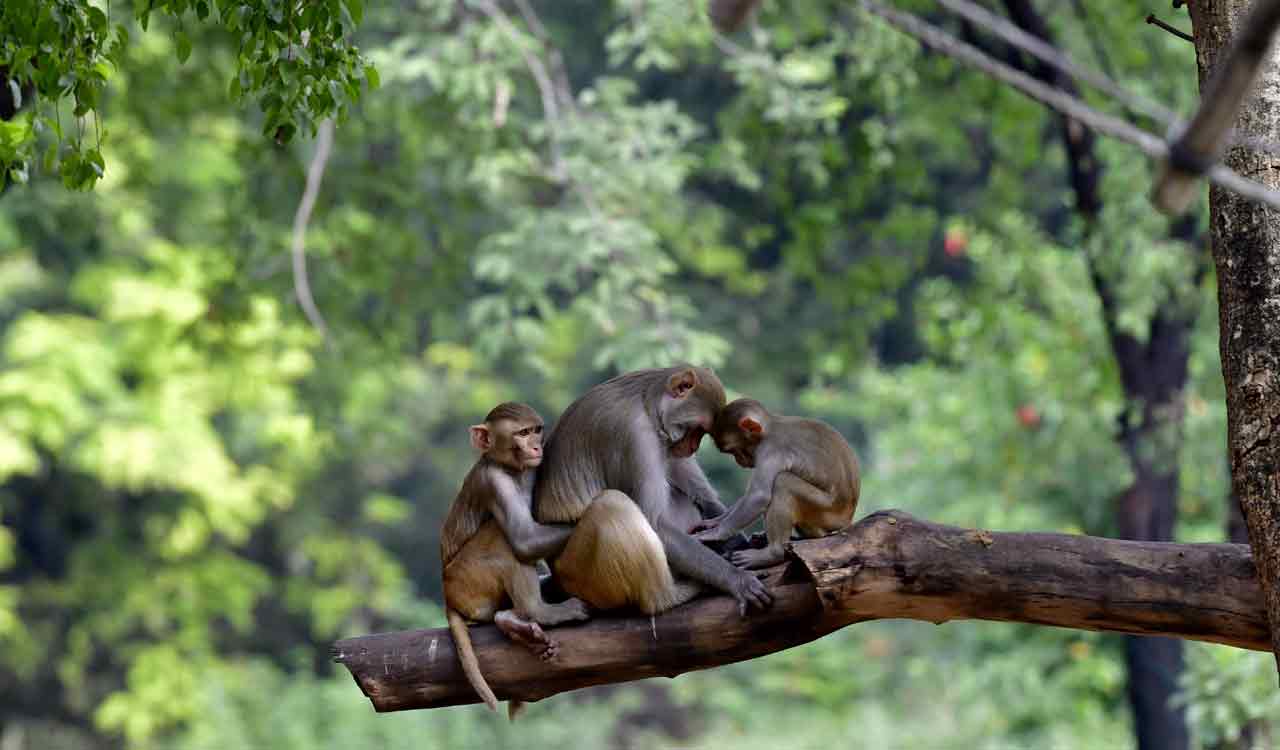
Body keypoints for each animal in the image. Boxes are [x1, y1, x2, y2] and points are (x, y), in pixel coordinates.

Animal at [440, 402, 590, 716]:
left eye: (536, 430)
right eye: (521, 433)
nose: (535, 446)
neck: (510, 469)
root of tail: (447, 597)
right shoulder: (494, 482)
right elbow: (524, 539)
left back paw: (511, 621)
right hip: (469, 582)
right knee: (503, 539)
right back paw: (538, 612)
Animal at [534, 366, 774, 616]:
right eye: (698, 430)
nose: (693, 447)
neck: (647, 405)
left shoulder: (666, 442)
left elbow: (704, 498)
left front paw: (735, 539)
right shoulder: (636, 435)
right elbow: (655, 523)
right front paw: (736, 579)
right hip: (583, 574)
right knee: (612, 504)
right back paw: (668, 597)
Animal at [692, 398, 860, 569]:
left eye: (734, 450)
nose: (739, 461)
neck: (770, 427)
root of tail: (847, 520)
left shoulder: (770, 450)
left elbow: (758, 496)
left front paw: (716, 533)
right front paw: (714, 522)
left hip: (826, 512)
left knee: (782, 482)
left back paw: (773, 553)